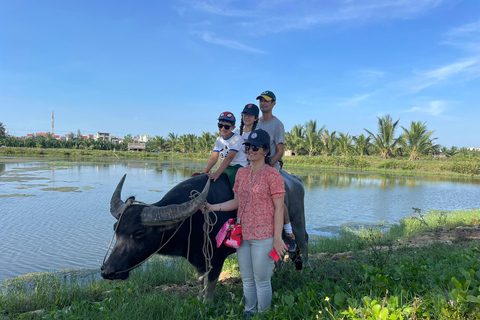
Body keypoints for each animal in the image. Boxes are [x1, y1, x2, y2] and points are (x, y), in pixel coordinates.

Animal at [102, 171, 308, 302]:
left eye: (138, 233)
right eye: (115, 229)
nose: (107, 271)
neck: (192, 221)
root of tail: (296, 180)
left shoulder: (217, 258)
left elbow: (211, 282)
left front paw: (207, 303)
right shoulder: (198, 258)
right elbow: (201, 280)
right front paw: (200, 299)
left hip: (298, 220)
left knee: (303, 240)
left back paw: (304, 270)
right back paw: (277, 271)